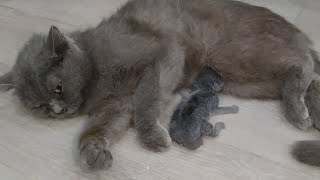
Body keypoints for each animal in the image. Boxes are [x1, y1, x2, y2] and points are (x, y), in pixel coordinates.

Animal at [0, 0, 320, 170]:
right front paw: (92, 152)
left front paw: (152, 136)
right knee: (310, 75)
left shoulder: (163, 55)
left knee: (302, 63)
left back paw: (297, 111)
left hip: (242, 55)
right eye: (38, 105)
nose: (56, 110)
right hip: (249, 80)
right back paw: (310, 110)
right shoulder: (116, 105)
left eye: (57, 88)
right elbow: (98, 128)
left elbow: (146, 98)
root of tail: (298, 33)